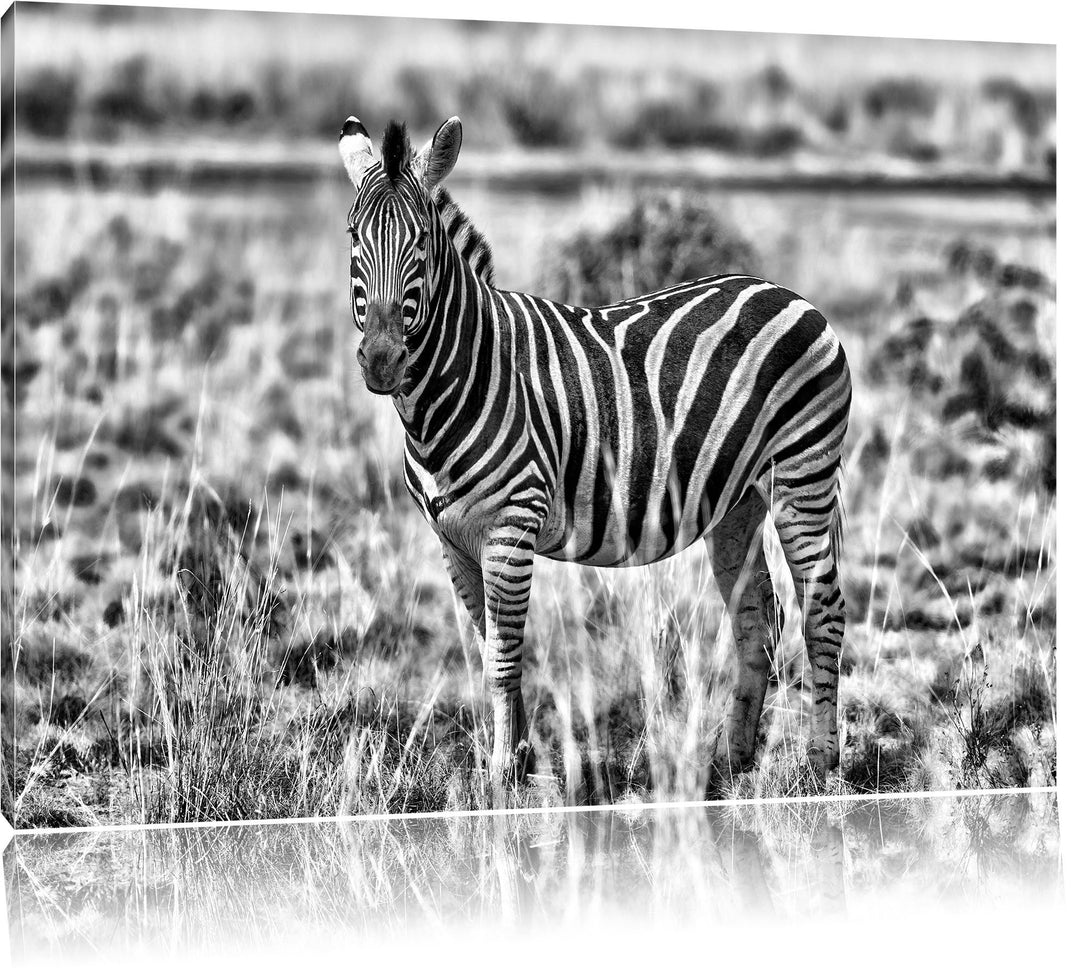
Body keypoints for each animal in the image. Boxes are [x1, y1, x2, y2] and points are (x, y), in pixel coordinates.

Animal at [339, 115, 852, 785]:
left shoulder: (511, 527)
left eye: (420, 242)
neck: (454, 386)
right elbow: (488, 650)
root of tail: (791, 295)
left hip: (802, 479)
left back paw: (823, 764)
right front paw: (519, 758)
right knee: (757, 619)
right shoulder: (452, 539)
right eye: (354, 237)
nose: (381, 360)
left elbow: (504, 656)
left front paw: (501, 773)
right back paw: (732, 760)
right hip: (737, 502)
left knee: (823, 612)